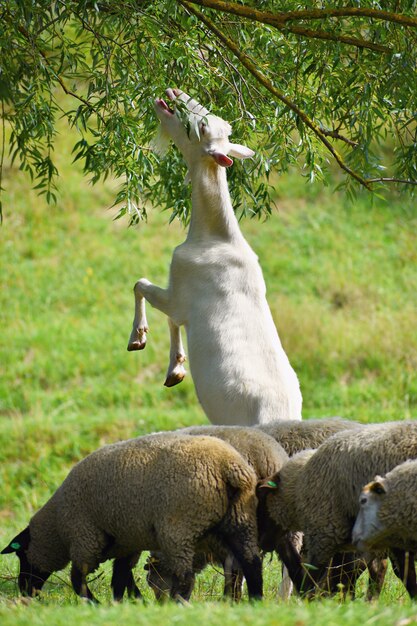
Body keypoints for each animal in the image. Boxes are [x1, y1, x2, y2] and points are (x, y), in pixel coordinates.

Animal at [1, 432, 262, 604]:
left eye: (21, 555)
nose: (24, 590)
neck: (57, 527)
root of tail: (230, 466)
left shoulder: (85, 536)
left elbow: (78, 578)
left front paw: (95, 604)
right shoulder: (126, 540)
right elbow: (121, 577)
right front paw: (125, 603)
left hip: (179, 527)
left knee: (186, 575)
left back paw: (179, 602)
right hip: (239, 519)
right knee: (251, 562)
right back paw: (255, 599)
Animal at [125, 86, 300, 424]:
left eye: (201, 127)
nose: (173, 92)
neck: (215, 238)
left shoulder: (181, 291)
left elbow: (141, 286)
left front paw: (137, 339)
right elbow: (170, 318)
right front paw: (175, 370)